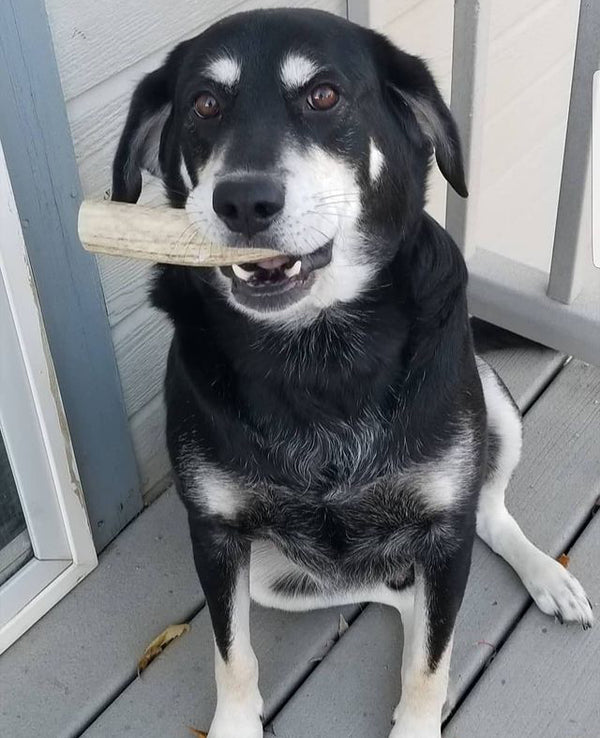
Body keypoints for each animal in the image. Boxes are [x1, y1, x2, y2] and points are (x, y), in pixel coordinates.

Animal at [110, 8, 592, 732]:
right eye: (203, 104)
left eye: (324, 95)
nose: (243, 201)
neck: (318, 352)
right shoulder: (217, 537)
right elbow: (233, 655)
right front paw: (234, 723)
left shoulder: (444, 533)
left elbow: (429, 666)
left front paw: (419, 720)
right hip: (277, 578)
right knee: (398, 596)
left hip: (494, 406)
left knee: (485, 518)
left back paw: (546, 575)